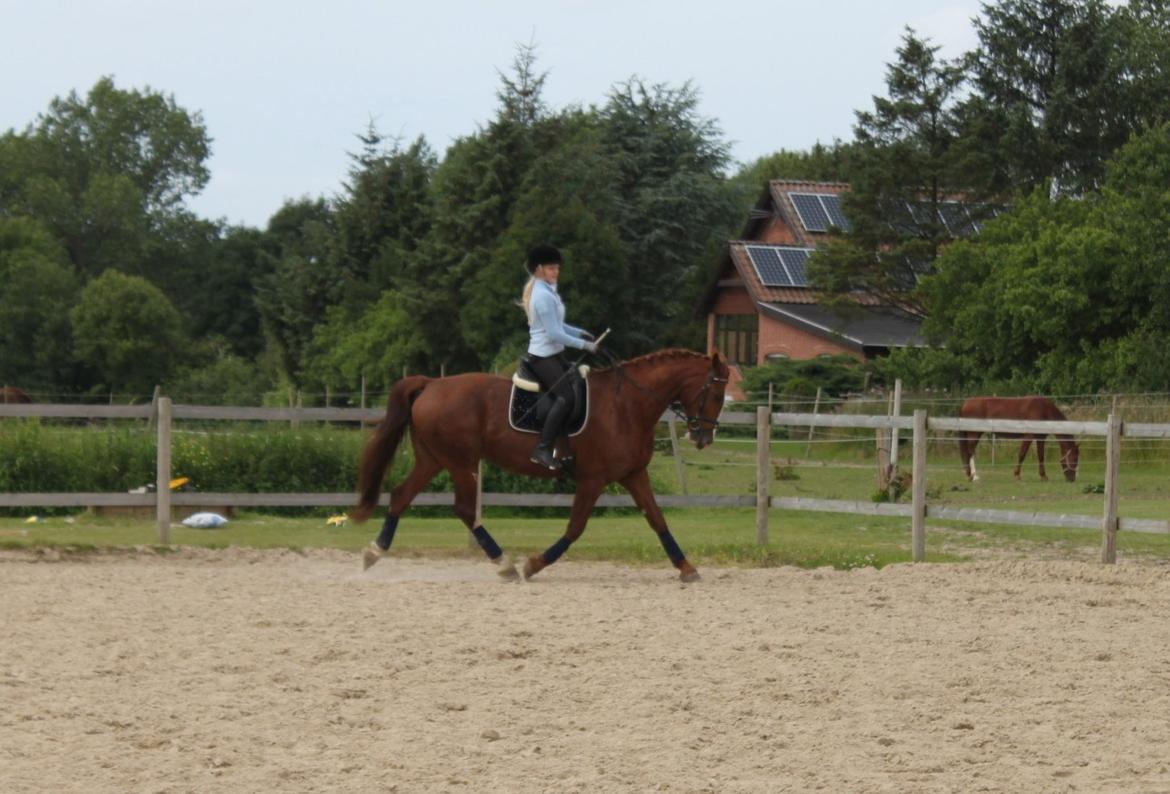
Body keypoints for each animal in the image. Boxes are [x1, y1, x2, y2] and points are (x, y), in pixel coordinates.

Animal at [351, 350, 725, 580]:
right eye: (718, 394)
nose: (704, 437)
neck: (628, 404)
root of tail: (431, 383)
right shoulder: (593, 479)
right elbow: (575, 528)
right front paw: (533, 564)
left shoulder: (633, 474)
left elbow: (658, 520)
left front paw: (687, 568)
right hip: (460, 461)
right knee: (464, 509)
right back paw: (504, 564)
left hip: (434, 459)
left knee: (401, 496)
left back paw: (373, 552)